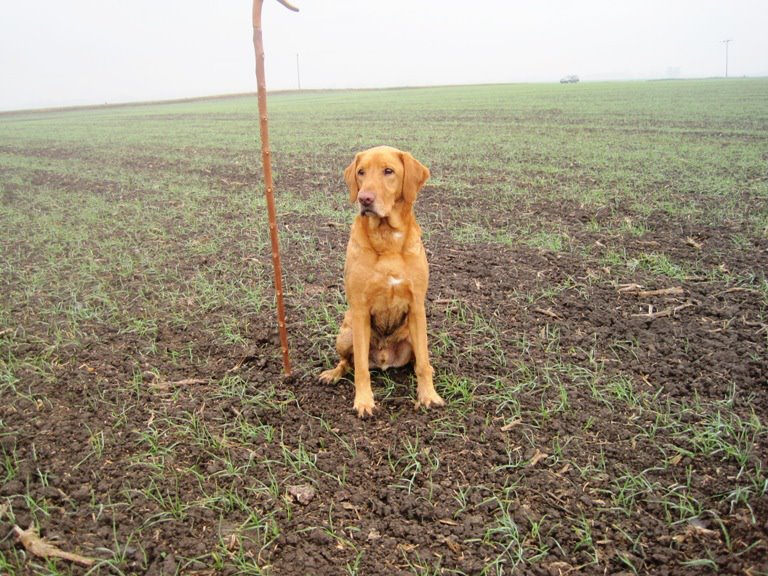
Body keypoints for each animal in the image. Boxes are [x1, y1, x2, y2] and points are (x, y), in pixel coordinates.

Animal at [318, 143, 448, 414]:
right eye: (361, 172)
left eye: (389, 171)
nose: (364, 199)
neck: (387, 239)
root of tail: (385, 360)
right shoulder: (359, 309)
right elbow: (360, 369)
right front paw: (364, 402)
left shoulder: (417, 306)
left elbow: (422, 363)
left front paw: (428, 395)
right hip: (345, 333)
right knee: (348, 362)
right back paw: (333, 374)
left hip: (412, 334)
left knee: (418, 361)